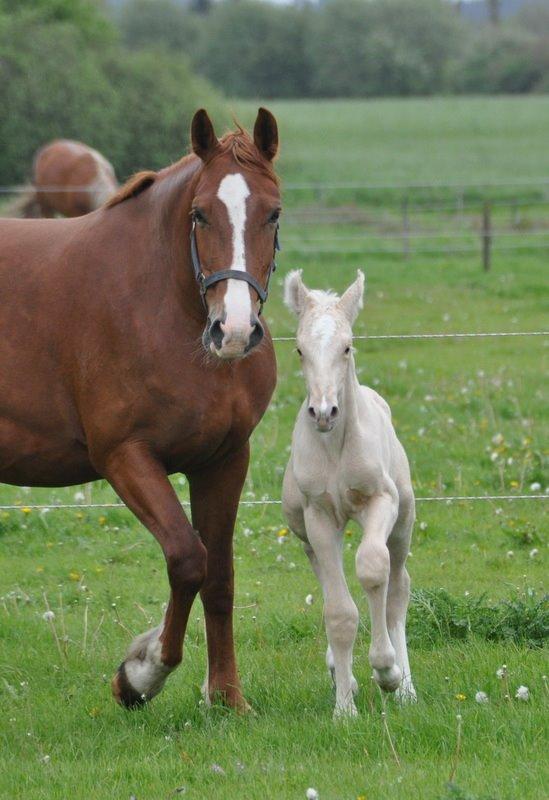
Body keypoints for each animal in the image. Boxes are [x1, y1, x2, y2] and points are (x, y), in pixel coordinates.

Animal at [0, 109, 280, 708]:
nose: (233, 331)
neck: (159, 304)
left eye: (273, 213)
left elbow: (219, 575)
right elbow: (187, 557)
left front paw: (227, 696)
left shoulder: (224, 461)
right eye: (200, 214)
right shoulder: (124, 457)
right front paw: (141, 673)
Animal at [282, 270, 416, 720]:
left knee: (397, 589)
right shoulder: (319, 518)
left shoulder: (381, 502)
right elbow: (338, 612)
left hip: (403, 525)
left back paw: (406, 688)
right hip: (309, 536)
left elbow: (374, 569)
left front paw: (386, 671)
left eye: (347, 346)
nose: (324, 413)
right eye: (300, 350)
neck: (335, 448)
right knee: (329, 584)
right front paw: (344, 708)